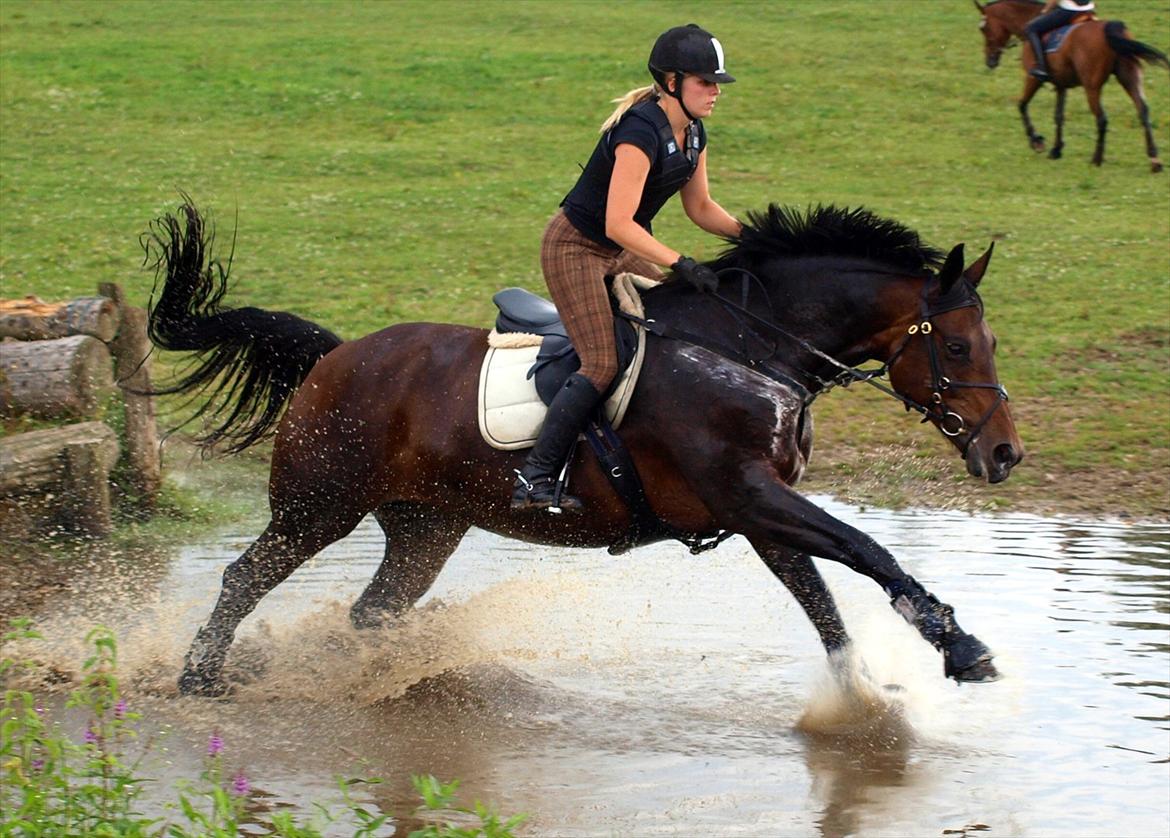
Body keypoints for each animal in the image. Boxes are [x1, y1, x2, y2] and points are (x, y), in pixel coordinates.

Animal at [141, 197, 1024, 702]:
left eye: (988, 341)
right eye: (954, 346)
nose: (1006, 453)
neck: (750, 346)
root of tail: (335, 356)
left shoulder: (761, 511)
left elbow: (824, 606)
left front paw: (865, 700)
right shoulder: (752, 493)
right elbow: (869, 551)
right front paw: (963, 647)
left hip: (425, 526)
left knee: (373, 610)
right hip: (319, 504)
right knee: (245, 576)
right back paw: (201, 679)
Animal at [973, 0, 1165, 170]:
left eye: (983, 28)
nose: (989, 61)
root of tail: (1111, 28)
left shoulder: (1033, 79)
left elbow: (1022, 105)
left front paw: (1036, 141)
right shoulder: (1061, 85)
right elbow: (1059, 116)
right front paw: (1056, 150)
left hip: (1091, 86)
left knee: (1102, 119)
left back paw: (1096, 159)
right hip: (1129, 77)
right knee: (1143, 111)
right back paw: (1154, 160)